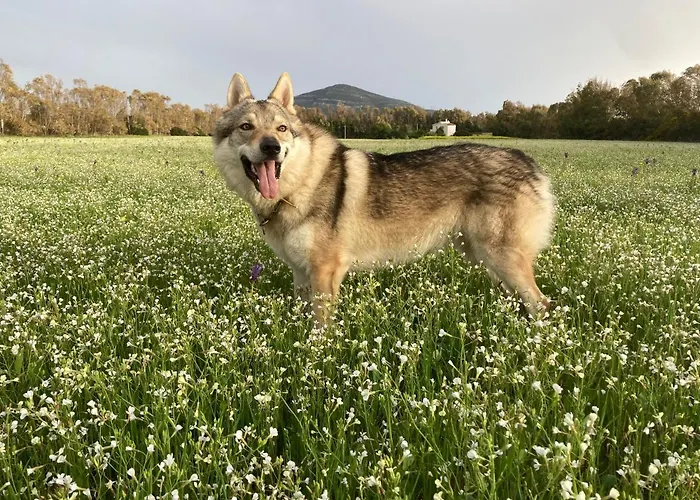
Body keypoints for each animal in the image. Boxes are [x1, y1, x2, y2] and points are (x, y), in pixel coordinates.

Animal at [212, 72, 556, 325]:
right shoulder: (300, 273)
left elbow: (320, 329)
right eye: (246, 127)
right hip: (484, 259)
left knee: (542, 304)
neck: (298, 185)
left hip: (500, 259)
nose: (271, 147)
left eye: (282, 129)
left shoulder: (325, 272)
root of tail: (526, 159)